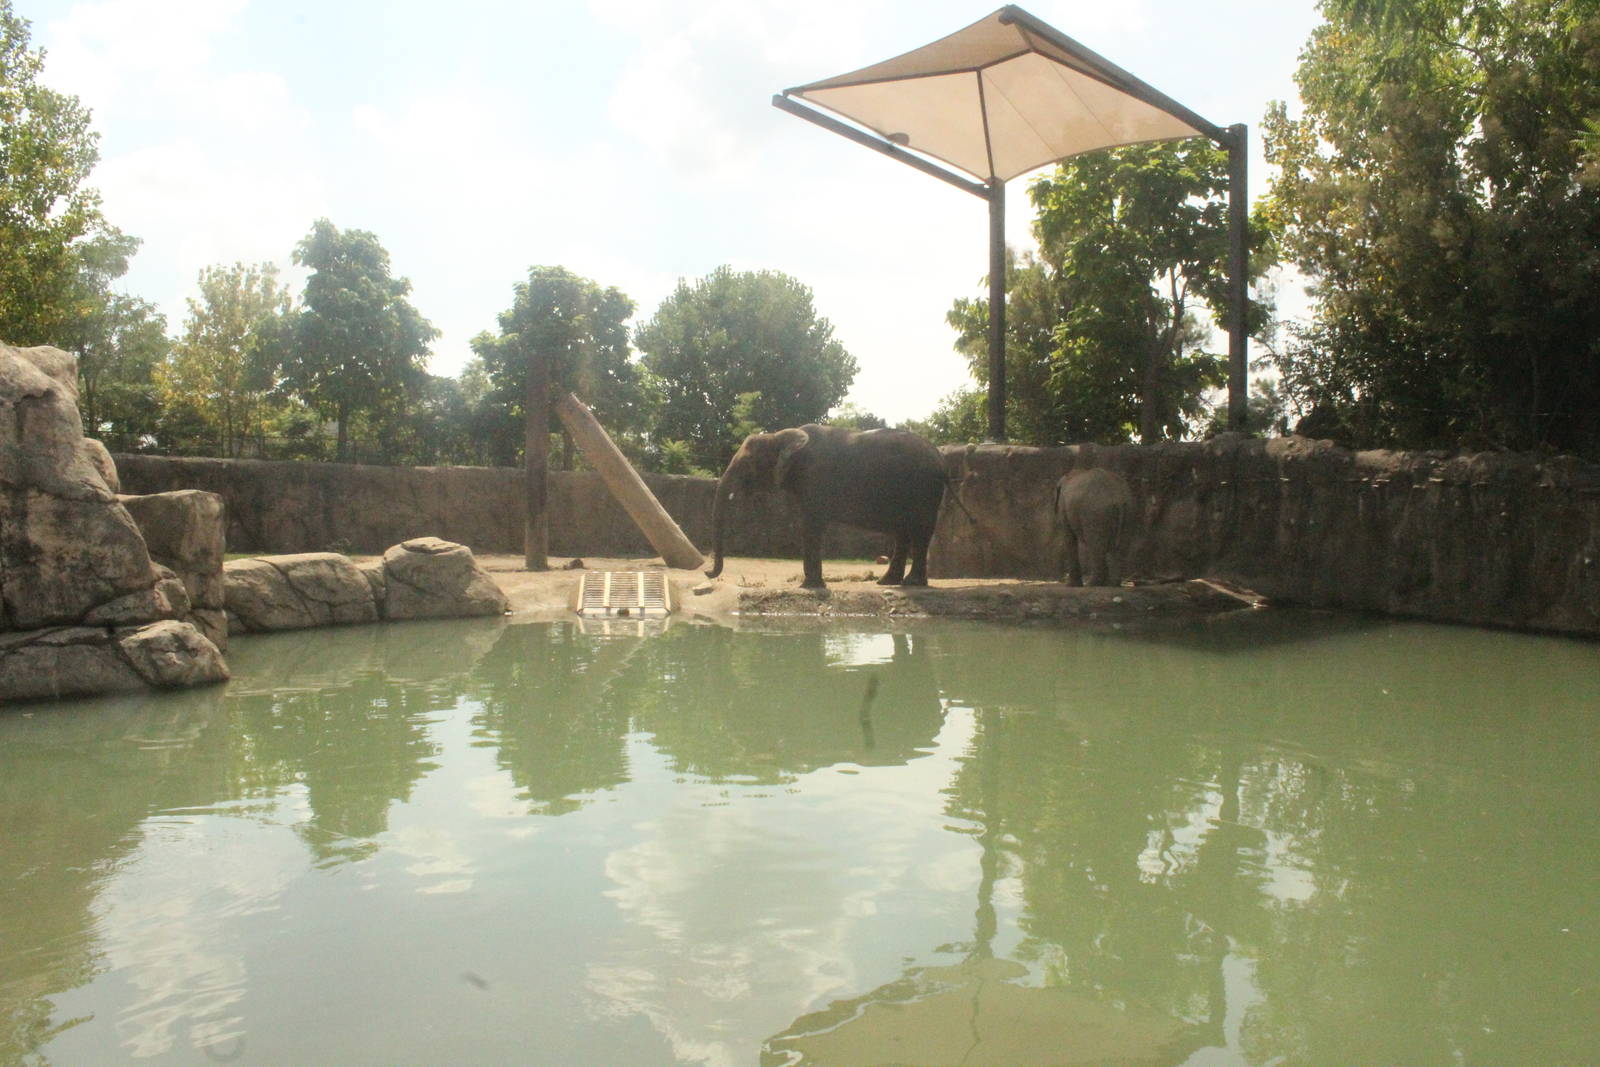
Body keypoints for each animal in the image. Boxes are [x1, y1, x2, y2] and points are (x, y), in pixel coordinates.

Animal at [705, 424, 947, 589]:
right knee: (903, 532)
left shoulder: (815, 478)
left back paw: (911, 584)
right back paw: (887, 582)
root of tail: (939, 456)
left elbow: (811, 525)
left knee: (919, 532)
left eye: (747, 464)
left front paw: (809, 586)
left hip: (924, 488)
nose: (707, 572)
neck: (779, 436)